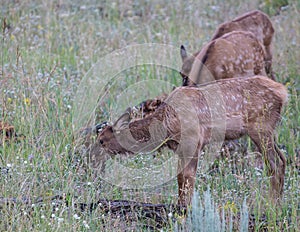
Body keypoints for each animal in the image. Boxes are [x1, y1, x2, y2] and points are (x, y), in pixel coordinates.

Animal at [90, 76, 288, 207]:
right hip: (268, 131)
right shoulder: (180, 147)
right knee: (282, 158)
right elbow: (179, 177)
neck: (167, 124)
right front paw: (180, 205)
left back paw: (272, 205)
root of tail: (283, 92)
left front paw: (187, 208)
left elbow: (188, 176)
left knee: (275, 163)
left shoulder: (194, 140)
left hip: (260, 127)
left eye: (101, 141)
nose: (92, 158)